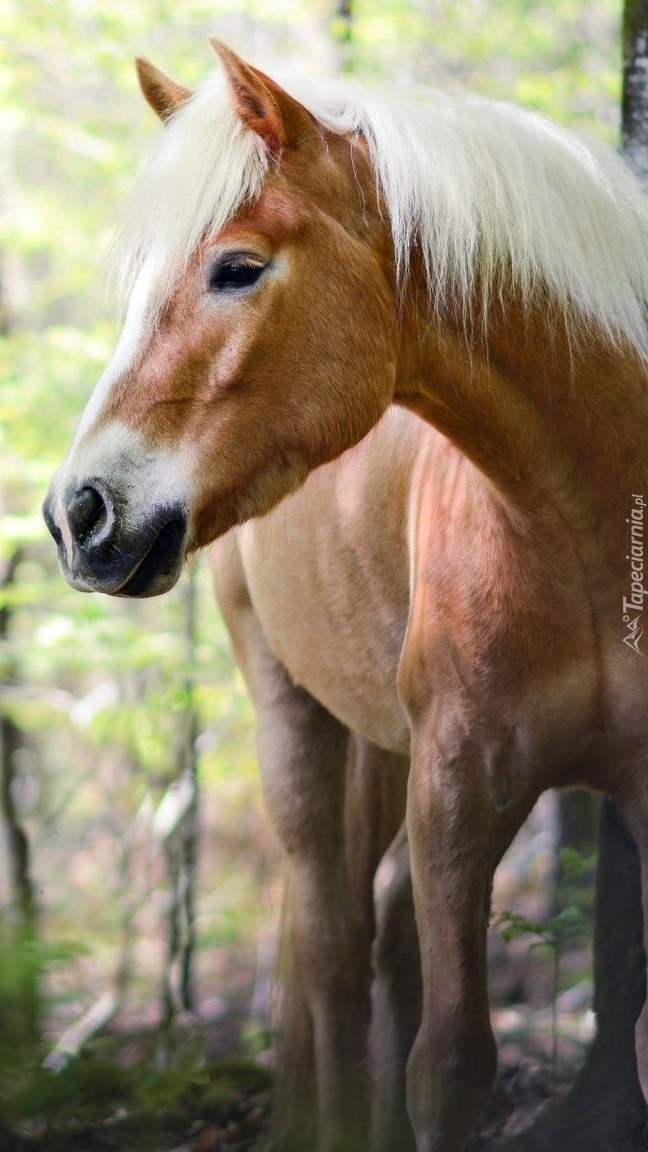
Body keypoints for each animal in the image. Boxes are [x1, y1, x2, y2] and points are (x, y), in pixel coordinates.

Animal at [42, 40, 648, 1152]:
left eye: (238, 268)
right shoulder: (456, 787)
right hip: (293, 716)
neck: (587, 530)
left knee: (382, 936)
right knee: (332, 944)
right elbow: (448, 1066)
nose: (79, 516)